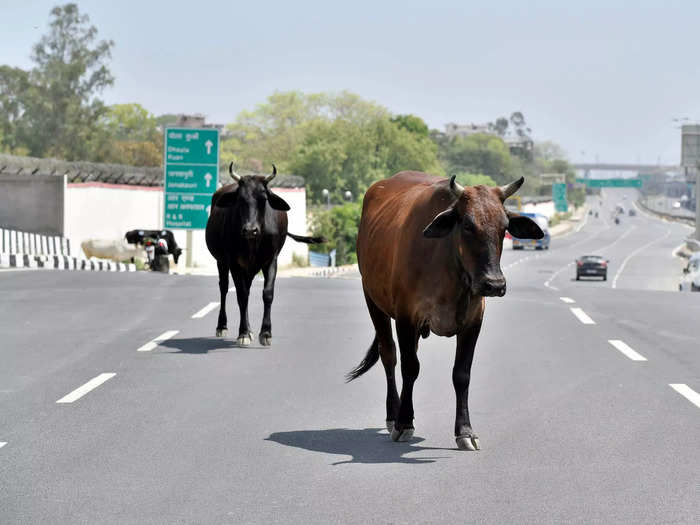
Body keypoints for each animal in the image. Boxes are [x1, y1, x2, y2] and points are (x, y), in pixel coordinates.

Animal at [202, 164, 322, 344]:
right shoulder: (234, 263)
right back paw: (222, 326)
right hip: (221, 262)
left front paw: (265, 333)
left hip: (250, 269)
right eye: (240, 199)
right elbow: (241, 295)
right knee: (225, 288)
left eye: (263, 199)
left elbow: (267, 294)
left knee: (246, 290)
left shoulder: (271, 261)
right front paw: (243, 333)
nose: (250, 230)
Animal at [348, 170, 540, 448]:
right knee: (390, 356)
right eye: (468, 225)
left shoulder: (473, 321)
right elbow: (410, 368)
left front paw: (465, 431)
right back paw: (393, 416)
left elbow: (461, 375)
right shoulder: (406, 317)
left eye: (504, 227)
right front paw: (403, 423)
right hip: (373, 301)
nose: (494, 284)